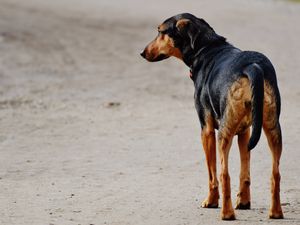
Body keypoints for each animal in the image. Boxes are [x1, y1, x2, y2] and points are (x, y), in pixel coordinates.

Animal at [141, 13, 284, 221]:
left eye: (160, 31)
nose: (142, 53)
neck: (206, 48)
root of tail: (253, 67)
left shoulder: (206, 130)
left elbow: (212, 173)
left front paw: (211, 201)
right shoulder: (245, 132)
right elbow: (245, 172)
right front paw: (244, 202)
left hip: (223, 134)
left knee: (224, 174)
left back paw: (226, 213)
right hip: (273, 129)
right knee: (275, 173)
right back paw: (275, 212)